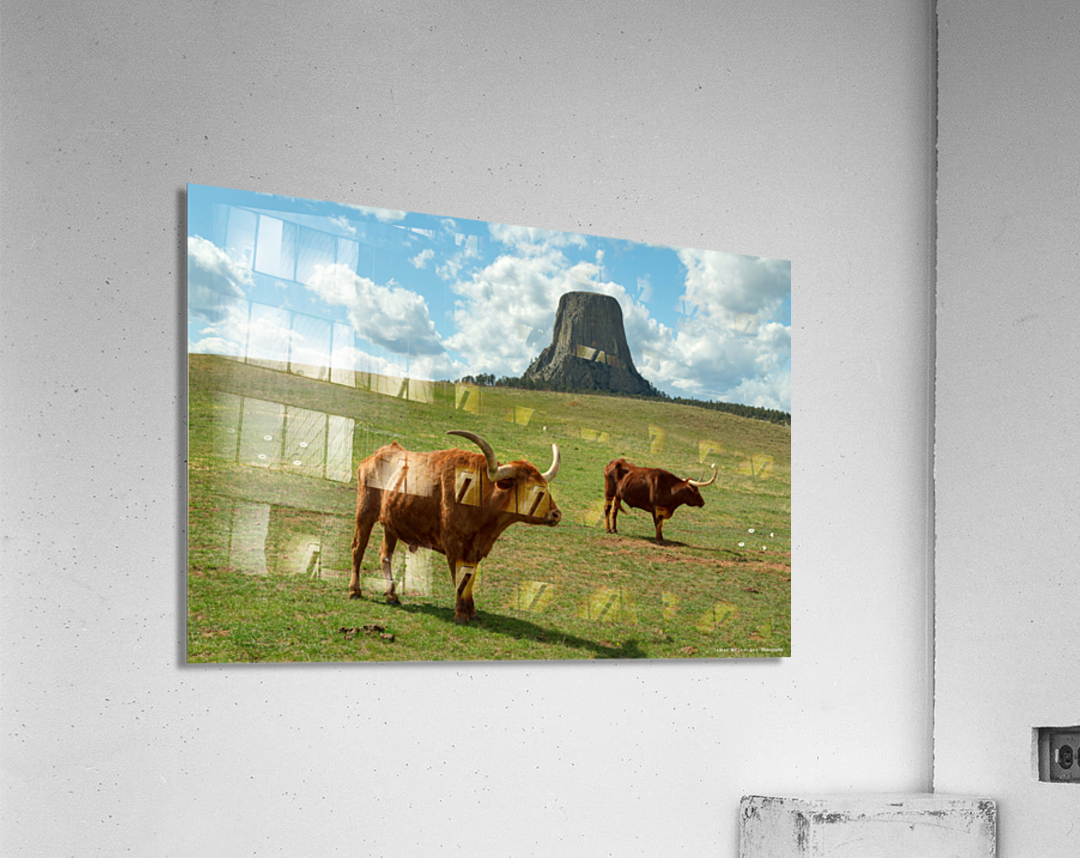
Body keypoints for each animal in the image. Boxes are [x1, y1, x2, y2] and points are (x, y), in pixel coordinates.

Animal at [349, 430, 561, 624]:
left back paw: (392, 595)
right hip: (364, 513)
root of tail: (375, 455)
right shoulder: (454, 546)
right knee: (358, 548)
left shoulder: (474, 549)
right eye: (533, 489)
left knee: (385, 554)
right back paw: (354, 590)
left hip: (390, 523)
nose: (556, 514)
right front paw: (461, 614)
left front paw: (472, 611)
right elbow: (460, 579)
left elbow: (470, 578)